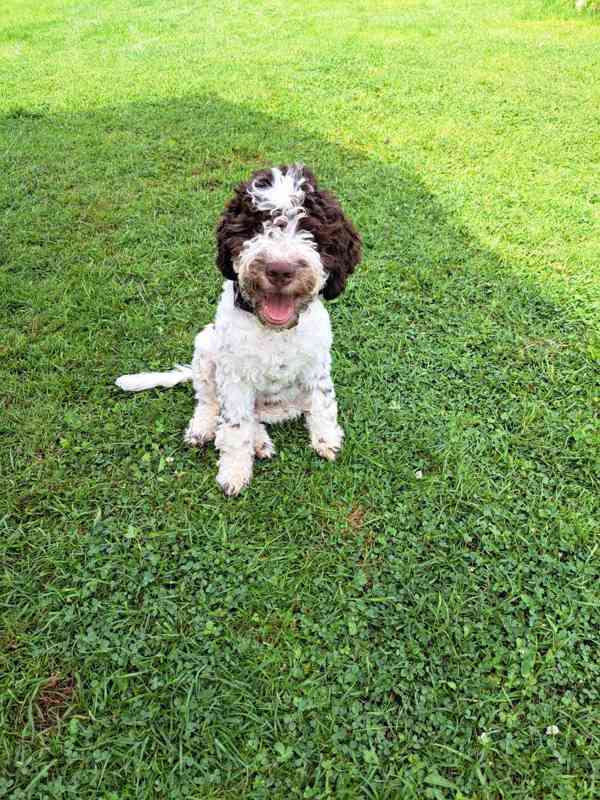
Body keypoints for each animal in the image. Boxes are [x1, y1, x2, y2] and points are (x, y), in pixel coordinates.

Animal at [116, 164, 360, 494]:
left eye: (309, 228)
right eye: (255, 227)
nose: (279, 269)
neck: (274, 330)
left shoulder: (317, 364)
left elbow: (323, 402)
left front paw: (327, 440)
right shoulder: (234, 376)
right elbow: (234, 426)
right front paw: (233, 472)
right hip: (205, 346)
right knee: (210, 402)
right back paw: (206, 429)